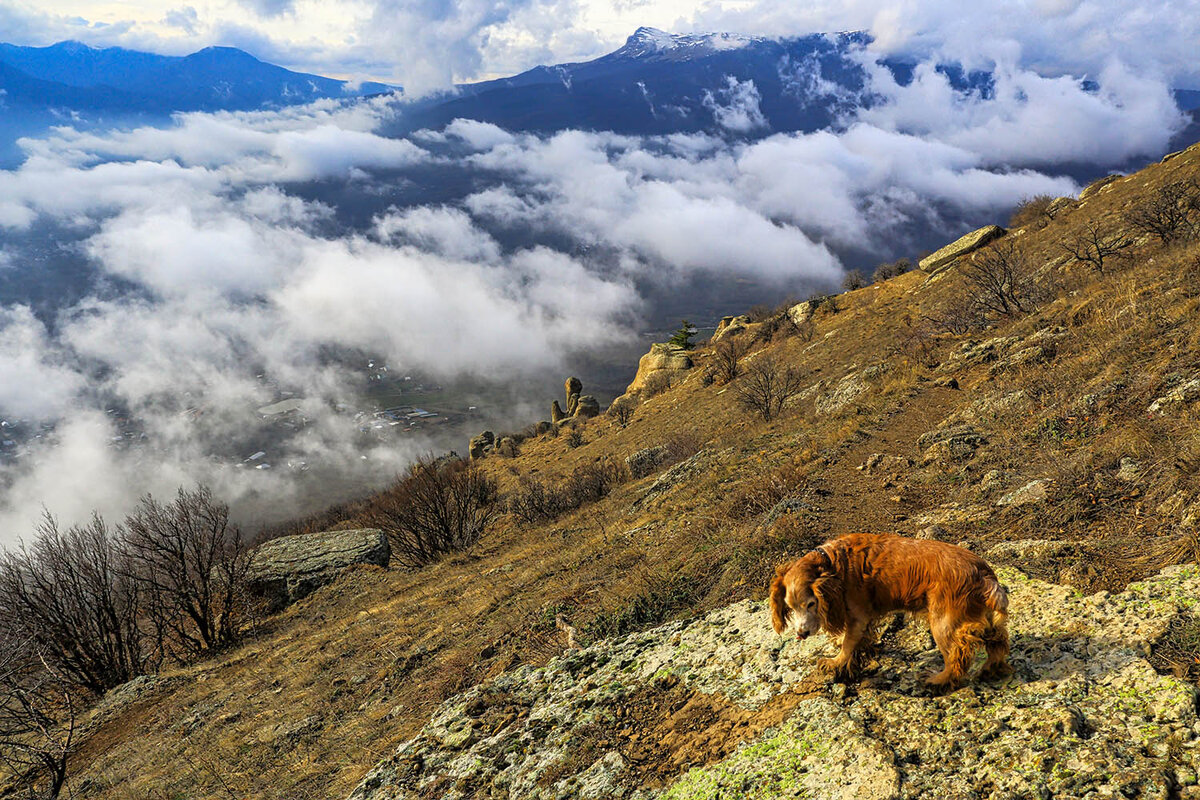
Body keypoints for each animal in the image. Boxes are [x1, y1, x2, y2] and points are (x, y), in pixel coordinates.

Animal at [768, 532, 1012, 690]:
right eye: (790, 607)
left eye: (811, 604)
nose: (801, 634)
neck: (833, 564)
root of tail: (983, 574)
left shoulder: (859, 616)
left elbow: (848, 644)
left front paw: (835, 662)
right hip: (984, 618)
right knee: (998, 639)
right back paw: (991, 668)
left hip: (943, 621)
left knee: (957, 653)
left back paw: (939, 679)